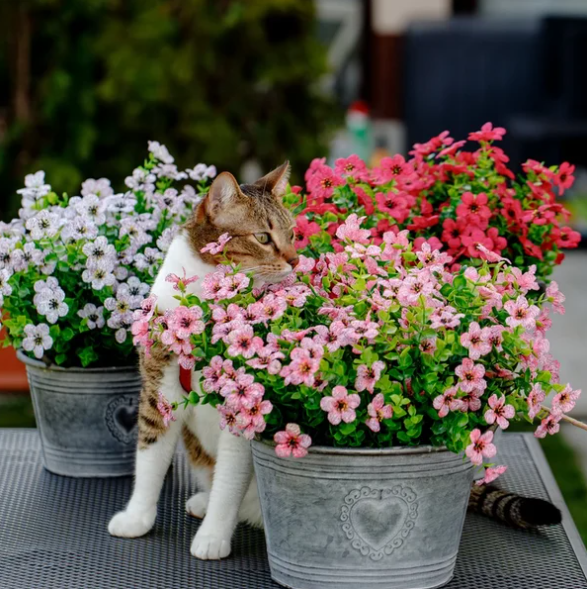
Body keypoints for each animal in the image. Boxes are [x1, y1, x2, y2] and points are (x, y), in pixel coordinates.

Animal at [108, 161, 564, 560]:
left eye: (292, 233)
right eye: (263, 237)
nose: (294, 259)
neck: (205, 302)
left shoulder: (243, 406)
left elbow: (228, 484)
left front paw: (212, 538)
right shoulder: (158, 390)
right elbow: (149, 462)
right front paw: (136, 518)